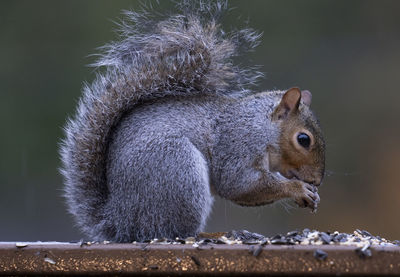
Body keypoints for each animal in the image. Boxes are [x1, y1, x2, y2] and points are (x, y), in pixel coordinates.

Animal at [61, 1, 326, 242]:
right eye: (303, 139)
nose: (316, 181)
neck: (262, 127)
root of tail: (121, 222)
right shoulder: (238, 146)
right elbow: (239, 185)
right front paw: (298, 189)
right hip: (178, 169)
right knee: (178, 232)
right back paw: (216, 234)